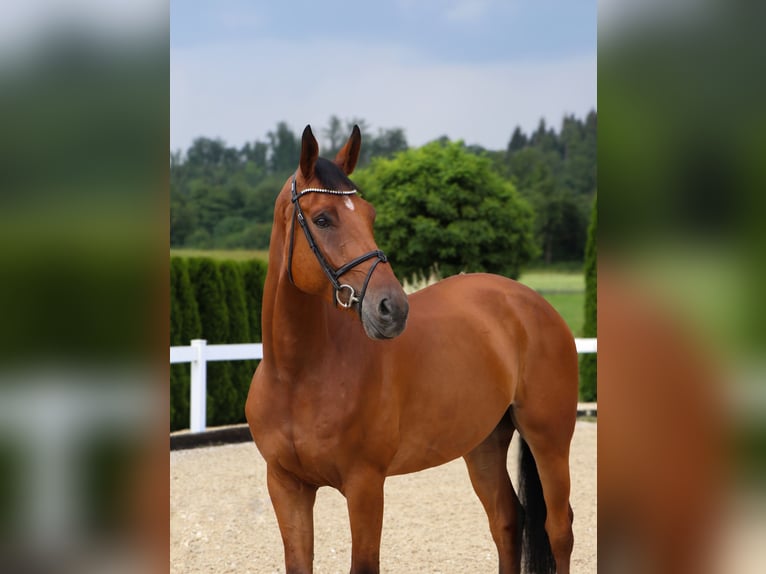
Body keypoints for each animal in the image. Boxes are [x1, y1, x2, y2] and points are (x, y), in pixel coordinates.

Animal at [245, 125, 578, 574]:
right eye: (322, 219)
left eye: (369, 215)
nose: (392, 308)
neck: (298, 374)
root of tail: (533, 303)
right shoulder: (286, 486)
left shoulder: (365, 485)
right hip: (484, 443)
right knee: (508, 520)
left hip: (550, 439)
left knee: (558, 530)